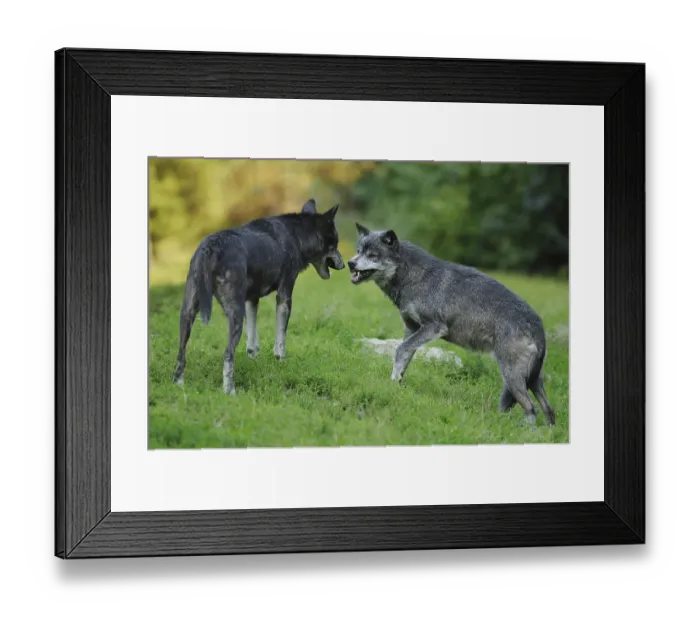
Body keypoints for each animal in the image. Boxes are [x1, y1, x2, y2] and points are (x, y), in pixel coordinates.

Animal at [172, 200, 344, 395]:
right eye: (335, 245)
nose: (345, 265)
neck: (296, 235)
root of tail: (212, 247)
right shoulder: (284, 297)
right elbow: (281, 338)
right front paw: (281, 360)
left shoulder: (251, 300)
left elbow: (252, 339)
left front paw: (253, 358)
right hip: (235, 315)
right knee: (228, 354)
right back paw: (229, 392)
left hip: (187, 314)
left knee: (181, 353)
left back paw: (178, 384)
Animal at [348, 224, 555, 426]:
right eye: (358, 251)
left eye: (372, 255)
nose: (350, 263)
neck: (414, 276)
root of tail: (538, 325)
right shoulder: (412, 330)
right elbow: (403, 356)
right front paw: (395, 384)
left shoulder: (433, 328)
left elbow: (399, 350)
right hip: (533, 381)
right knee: (549, 410)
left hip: (512, 377)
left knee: (532, 409)